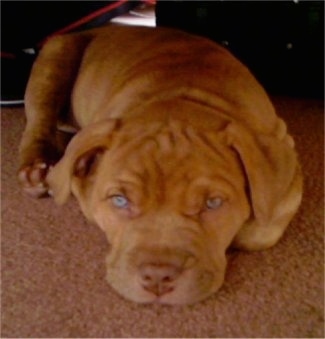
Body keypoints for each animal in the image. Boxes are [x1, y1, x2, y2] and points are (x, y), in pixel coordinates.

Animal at [17, 25, 302, 304]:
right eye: (119, 200)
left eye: (213, 203)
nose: (157, 276)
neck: (182, 96)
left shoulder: (286, 155)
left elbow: (260, 226)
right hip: (55, 58)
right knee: (38, 120)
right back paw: (35, 169)